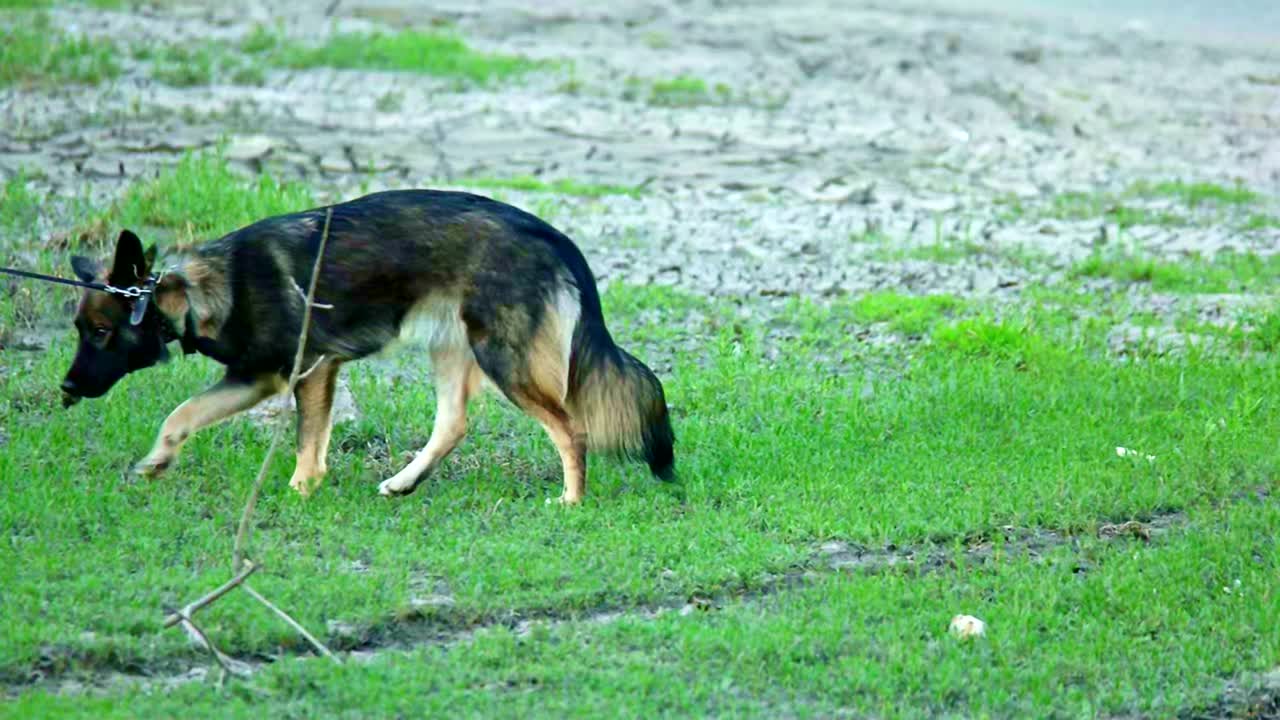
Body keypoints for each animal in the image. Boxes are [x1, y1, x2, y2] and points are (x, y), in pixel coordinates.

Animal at [57, 190, 680, 504]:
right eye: (82, 331)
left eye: (101, 332)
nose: (66, 387)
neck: (203, 288)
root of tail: (549, 233)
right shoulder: (255, 377)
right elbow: (181, 414)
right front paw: (157, 462)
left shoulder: (308, 371)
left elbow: (307, 444)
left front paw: (301, 492)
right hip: (453, 347)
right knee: (453, 423)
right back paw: (406, 482)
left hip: (503, 358)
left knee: (571, 429)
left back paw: (572, 500)